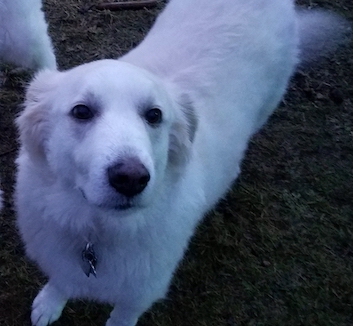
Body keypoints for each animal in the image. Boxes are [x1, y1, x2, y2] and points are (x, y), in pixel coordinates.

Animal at [14, 0, 346, 326]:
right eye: (81, 111)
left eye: (154, 115)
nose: (131, 179)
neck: (96, 231)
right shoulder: (60, 258)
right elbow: (61, 280)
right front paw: (50, 303)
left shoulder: (140, 294)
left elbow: (121, 317)